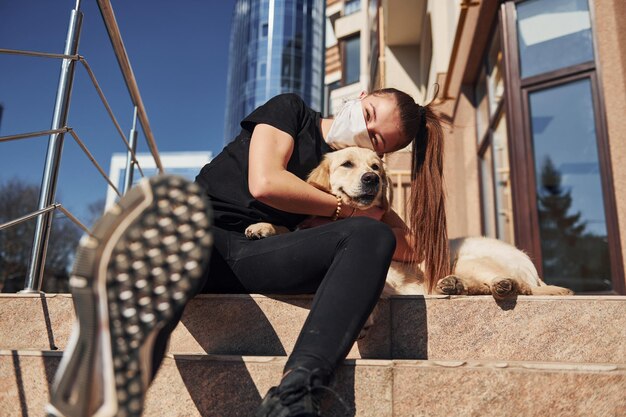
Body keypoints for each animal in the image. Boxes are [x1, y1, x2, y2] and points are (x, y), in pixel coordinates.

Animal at [243, 148, 572, 298]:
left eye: (375, 167)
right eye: (347, 164)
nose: (372, 179)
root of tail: (531, 268)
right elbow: (290, 229)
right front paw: (263, 227)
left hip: (467, 257)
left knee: (516, 286)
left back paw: (497, 285)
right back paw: (454, 285)